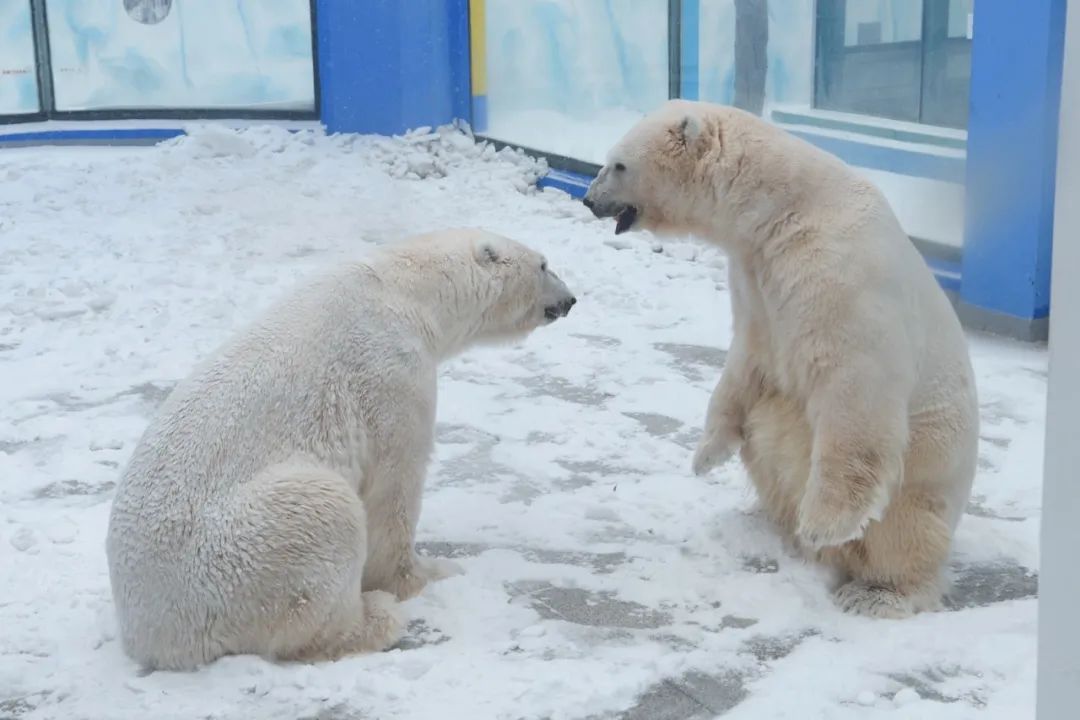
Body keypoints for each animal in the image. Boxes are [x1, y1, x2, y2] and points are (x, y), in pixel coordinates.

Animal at [105, 229, 578, 669]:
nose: (571, 299)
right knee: (324, 514)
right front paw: (428, 574)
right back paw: (376, 618)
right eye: (543, 264)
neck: (405, 288)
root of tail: (153, 640)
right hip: (237, 553)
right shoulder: (392, 371)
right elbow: (394, 484)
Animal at [583, 99, 980, 621]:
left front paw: (824, 525)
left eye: (618, 165)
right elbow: (748, 359)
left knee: (904, 532)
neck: (787, 207)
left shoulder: (839, 275)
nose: (589, 199)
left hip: (927, 472)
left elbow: (856, 388)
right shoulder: (757, 276)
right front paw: (705, 456)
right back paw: (761, 522)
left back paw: (874, 590)